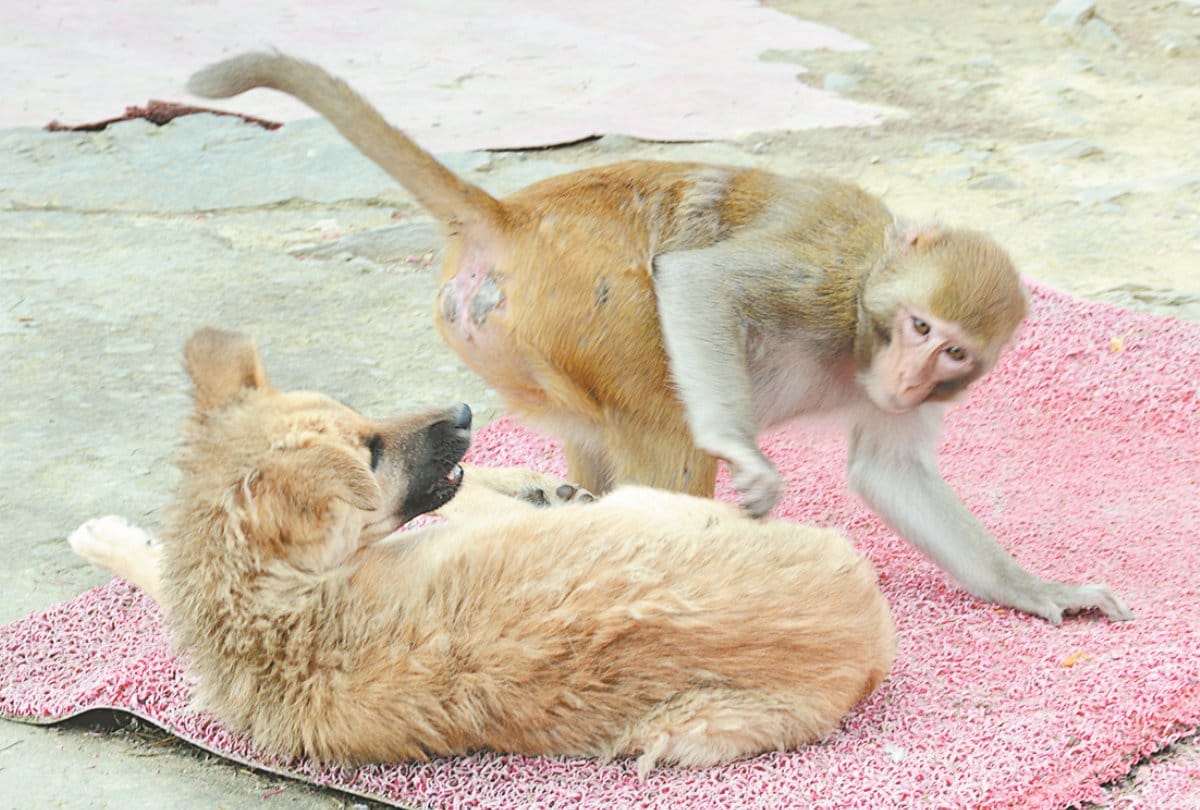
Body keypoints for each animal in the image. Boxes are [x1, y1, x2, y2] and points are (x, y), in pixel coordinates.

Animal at [186, 52, 1133, 625]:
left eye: (955, 353)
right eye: (919, 325)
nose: (907, 376)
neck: (867, 307)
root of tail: (513, 217)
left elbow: (890, 473)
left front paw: (1037, 591)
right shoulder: (822, 277)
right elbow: (704, 283)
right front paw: (744, 453)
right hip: (591, 309)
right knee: (666, 417)